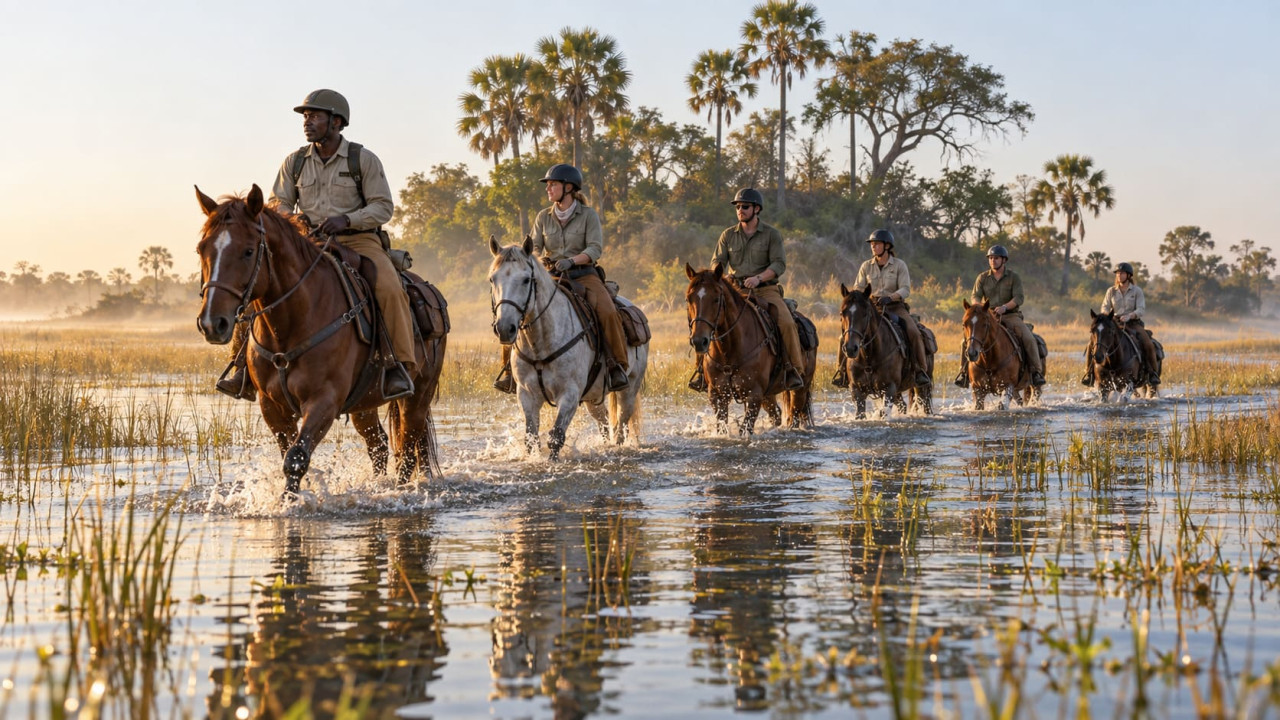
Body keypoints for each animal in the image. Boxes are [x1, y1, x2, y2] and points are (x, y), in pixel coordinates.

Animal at [195, 185, 446, 495]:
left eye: (248, 251)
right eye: (202, 249)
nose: (211, 323)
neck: (291, 325)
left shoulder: (324, 400)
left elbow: (296, 458)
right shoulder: (272, 406)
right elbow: (289, 453)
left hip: (419, 394)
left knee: (408, 449)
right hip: (366, 402)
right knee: (379, 445)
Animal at [488, 237, 648, 460]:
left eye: (526, 280)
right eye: (492, 279)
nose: (505, 328)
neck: (541, 343)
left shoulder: (569, 395)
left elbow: (556, 437)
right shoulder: (526, 395)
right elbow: (531, 438)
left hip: (630, 389)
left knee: (621, 427)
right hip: (593, 397)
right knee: (604, 422)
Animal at [684, 263, 816, 435]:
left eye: (716, 299)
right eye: (688, 299)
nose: (699, 341)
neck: (729, 350)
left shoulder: (754, 395)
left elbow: (745, 429)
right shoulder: (717, 395)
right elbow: (722, 427)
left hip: (800, 388)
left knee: (795, 415)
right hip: (769, 395)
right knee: (776, 414)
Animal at [838, 284, 933, 419]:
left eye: (865, 314)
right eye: (842, 313)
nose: (851, 348)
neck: (869, 357)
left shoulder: (890, 388)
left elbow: (883, 413)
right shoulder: (856, 389)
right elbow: (860, 414)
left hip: (922, 386)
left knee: (925, 404)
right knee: (903, 405)